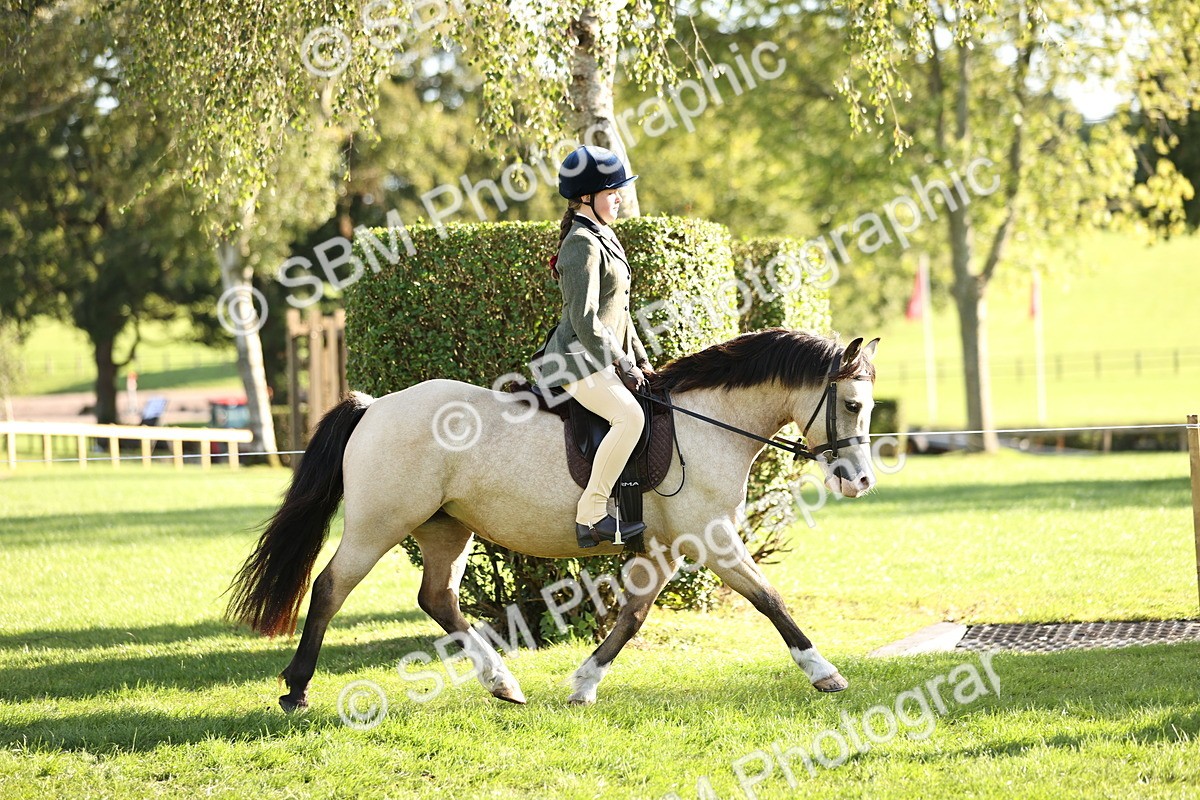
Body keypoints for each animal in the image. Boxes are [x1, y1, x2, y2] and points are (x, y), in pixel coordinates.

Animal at [226, 329, 880, 709]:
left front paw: (583, 683)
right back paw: (296, 689)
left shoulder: (664, 550)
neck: (707, 425)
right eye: (851, 404)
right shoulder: (713, 539)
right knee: (330, 587)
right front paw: (824, 672)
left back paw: (503, 684)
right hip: (378, 525)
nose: (860, 481)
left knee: (437, 598)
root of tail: (375, 406)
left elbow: (632, 617)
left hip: (446, 527)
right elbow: (770, 599)